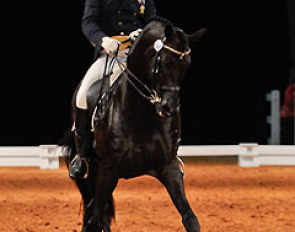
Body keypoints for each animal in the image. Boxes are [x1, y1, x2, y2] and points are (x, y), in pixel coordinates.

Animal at [61, 16, 207, 232]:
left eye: (187, 65)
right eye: (163, 61)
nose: (169, 108)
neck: (139, 115)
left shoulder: (168, 166)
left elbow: (190, 218)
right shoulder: (108, 170)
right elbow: (95, 219)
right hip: (91, 171)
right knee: (94, 213)